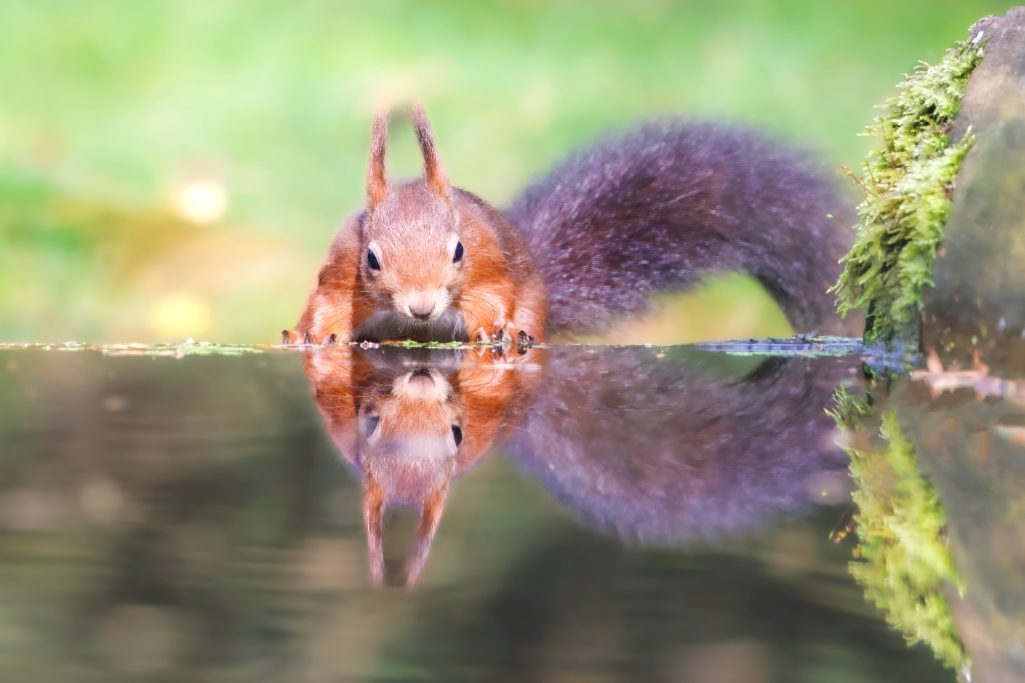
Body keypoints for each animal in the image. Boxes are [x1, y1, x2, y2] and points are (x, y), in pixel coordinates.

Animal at [284, 104, 852, 348]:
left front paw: (495, 328)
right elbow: (327, 304)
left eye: (459, 251)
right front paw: (309, 334)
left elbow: (492, 297)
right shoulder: (341, 266)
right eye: (372, 259)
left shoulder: (491, 263)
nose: (421, 308)